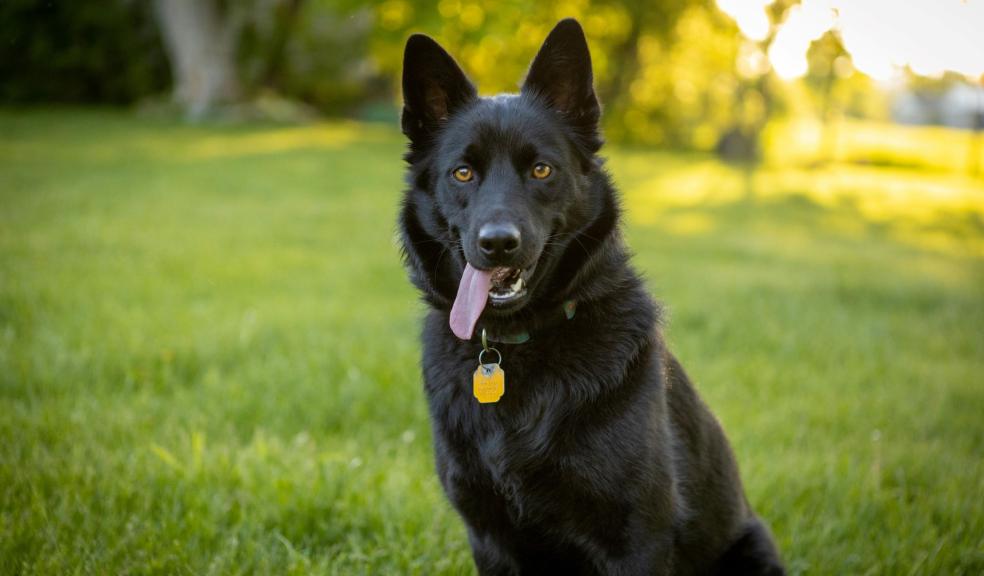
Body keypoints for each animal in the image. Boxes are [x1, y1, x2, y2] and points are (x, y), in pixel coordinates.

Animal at [398, 19, 784, 576]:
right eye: (462, 173)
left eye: (541, 170)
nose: (498, 243)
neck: (515, 351)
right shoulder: (489, 537)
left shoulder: (637, 539)